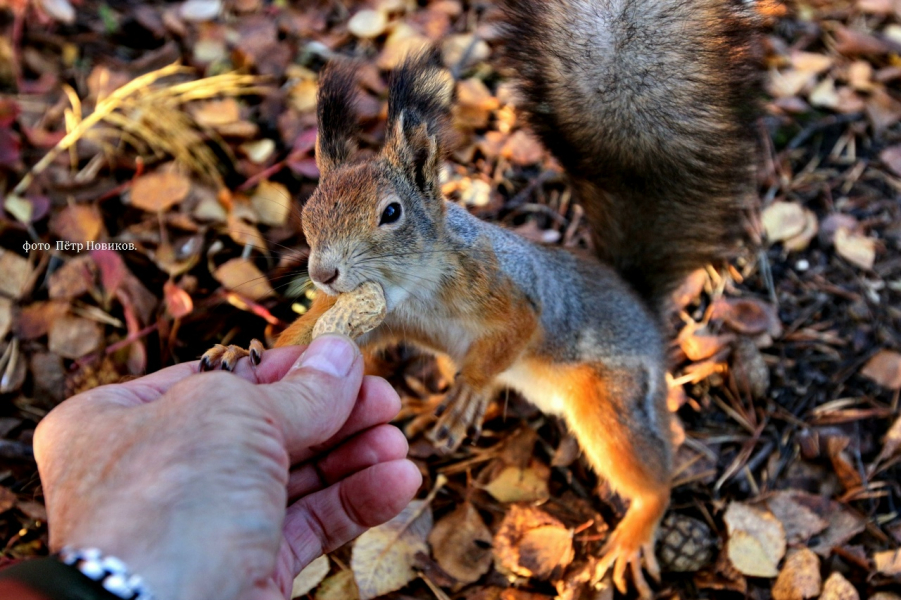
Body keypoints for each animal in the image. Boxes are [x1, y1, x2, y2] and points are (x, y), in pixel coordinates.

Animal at [201, 0, 759, 595]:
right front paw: (241, 351)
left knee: (647, 469)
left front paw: (471, 386)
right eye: (308, 210)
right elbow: (306, 337)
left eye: (392, 212)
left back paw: (635, 526)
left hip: (615, 400)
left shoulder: (510, 291)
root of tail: (639, 306)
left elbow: (514, 332)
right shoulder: (366, 311)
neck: (413, 290)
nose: (323, 273)